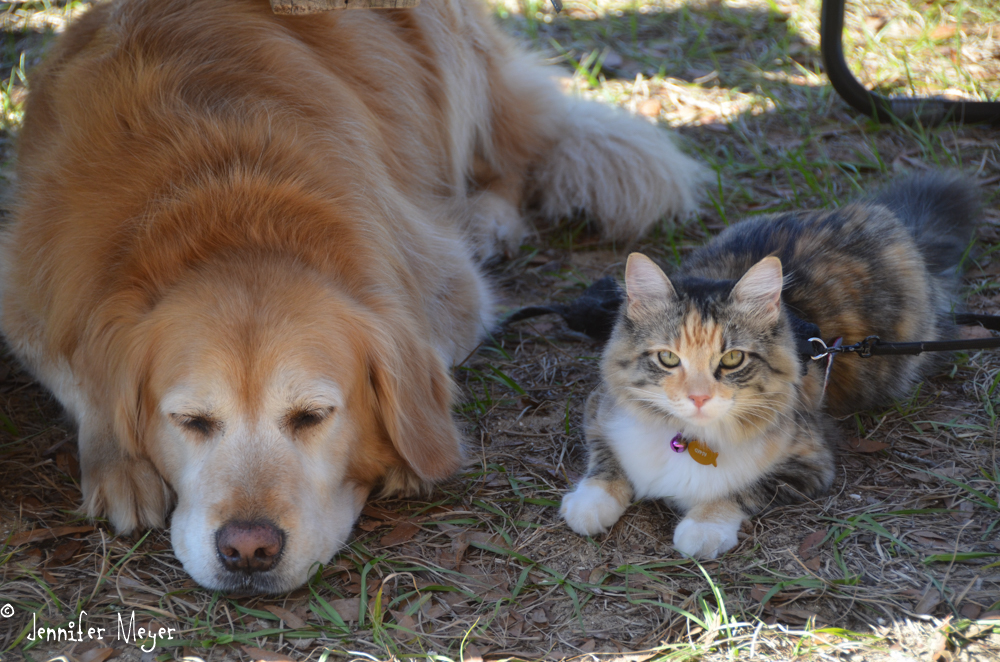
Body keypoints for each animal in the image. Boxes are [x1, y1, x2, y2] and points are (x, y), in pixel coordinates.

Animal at [0, 0, 708, 592]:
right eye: (191, 422)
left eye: (312, 417)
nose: (248, 550)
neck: (225, 209)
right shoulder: (27, 291)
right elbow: (77, 370)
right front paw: (118, 464)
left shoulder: (449, 293)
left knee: (506, 160)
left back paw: (489, 218)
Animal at [560, 174, 980, 556]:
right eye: (668, 358)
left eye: (732, 359)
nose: (698, 398)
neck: (687, 439)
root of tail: (873, 214)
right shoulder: (599, 412)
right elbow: (606, 464)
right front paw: (588, 504)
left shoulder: (810, 463)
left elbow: (737, 491)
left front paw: (703, 527)